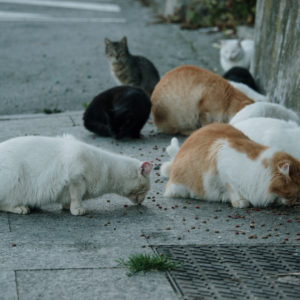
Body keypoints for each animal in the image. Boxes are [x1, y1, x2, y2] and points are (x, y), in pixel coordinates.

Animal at [0, 135, 152, 214]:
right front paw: (77, 209)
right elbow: (76, 197)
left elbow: (68, 199)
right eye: (146, 190)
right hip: (13, 178)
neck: (108, 170)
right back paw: (21, 208)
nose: (143, 200)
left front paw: (67, 207)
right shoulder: (76, 178)